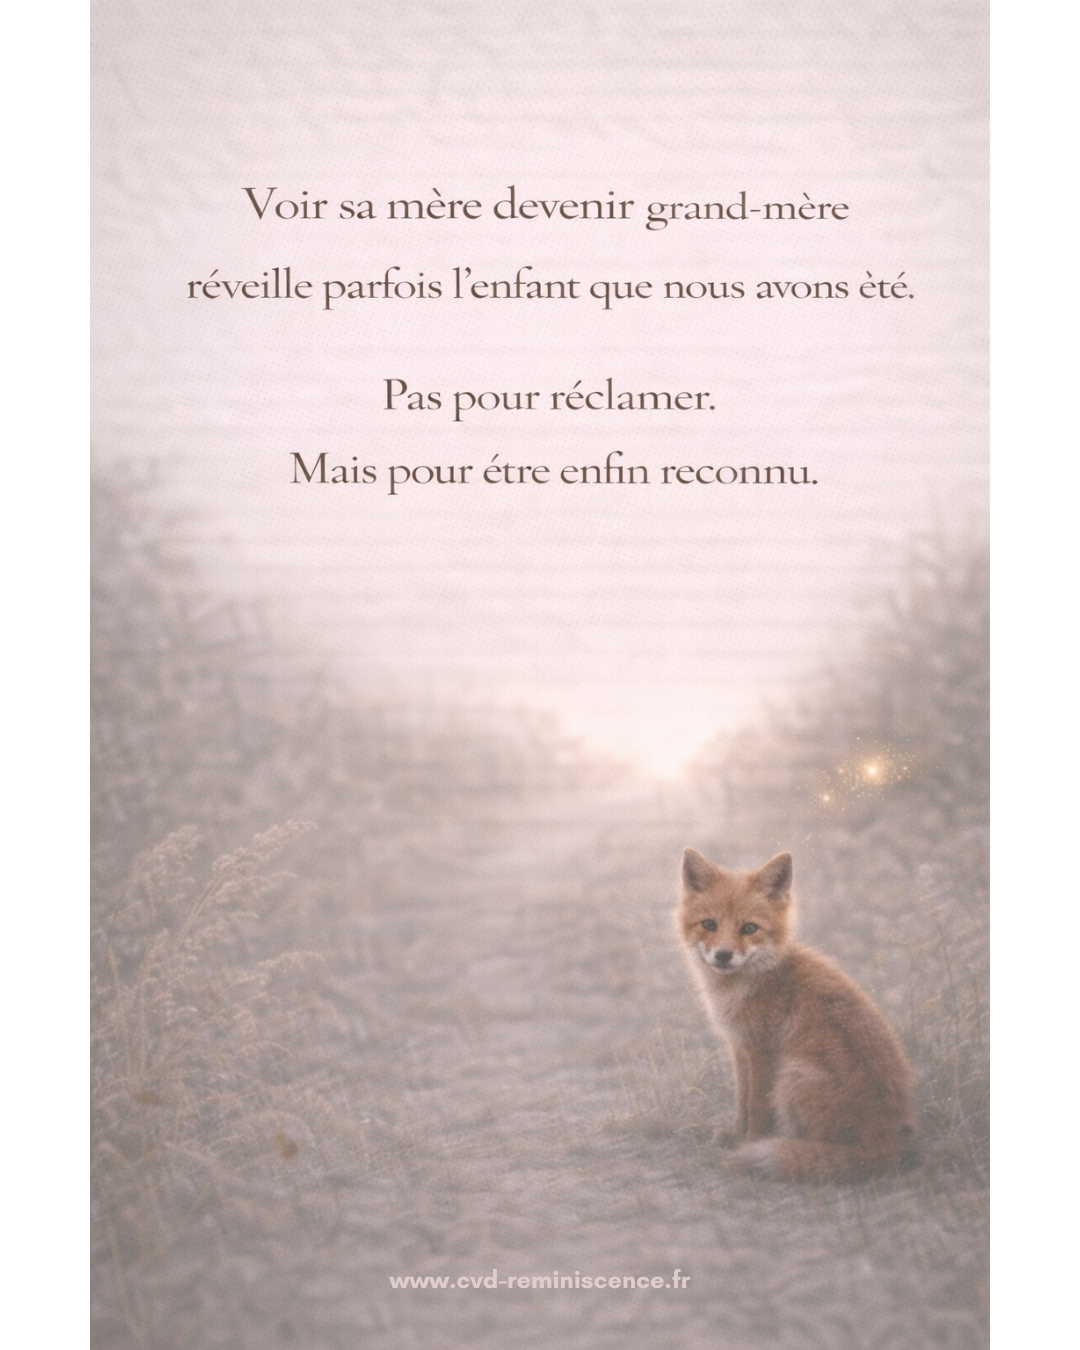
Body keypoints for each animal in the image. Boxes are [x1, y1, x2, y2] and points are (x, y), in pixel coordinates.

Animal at [676, 847, 917, 1183]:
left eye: (748, 928)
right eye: (709, 924)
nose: (723, 955)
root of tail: (886, 1148)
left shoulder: (763, 1052)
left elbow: (756, 1109)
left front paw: (748, 1145)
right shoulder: (741, 1049)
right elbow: (741, 1104)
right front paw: (736, 1137)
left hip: (792, 1076)